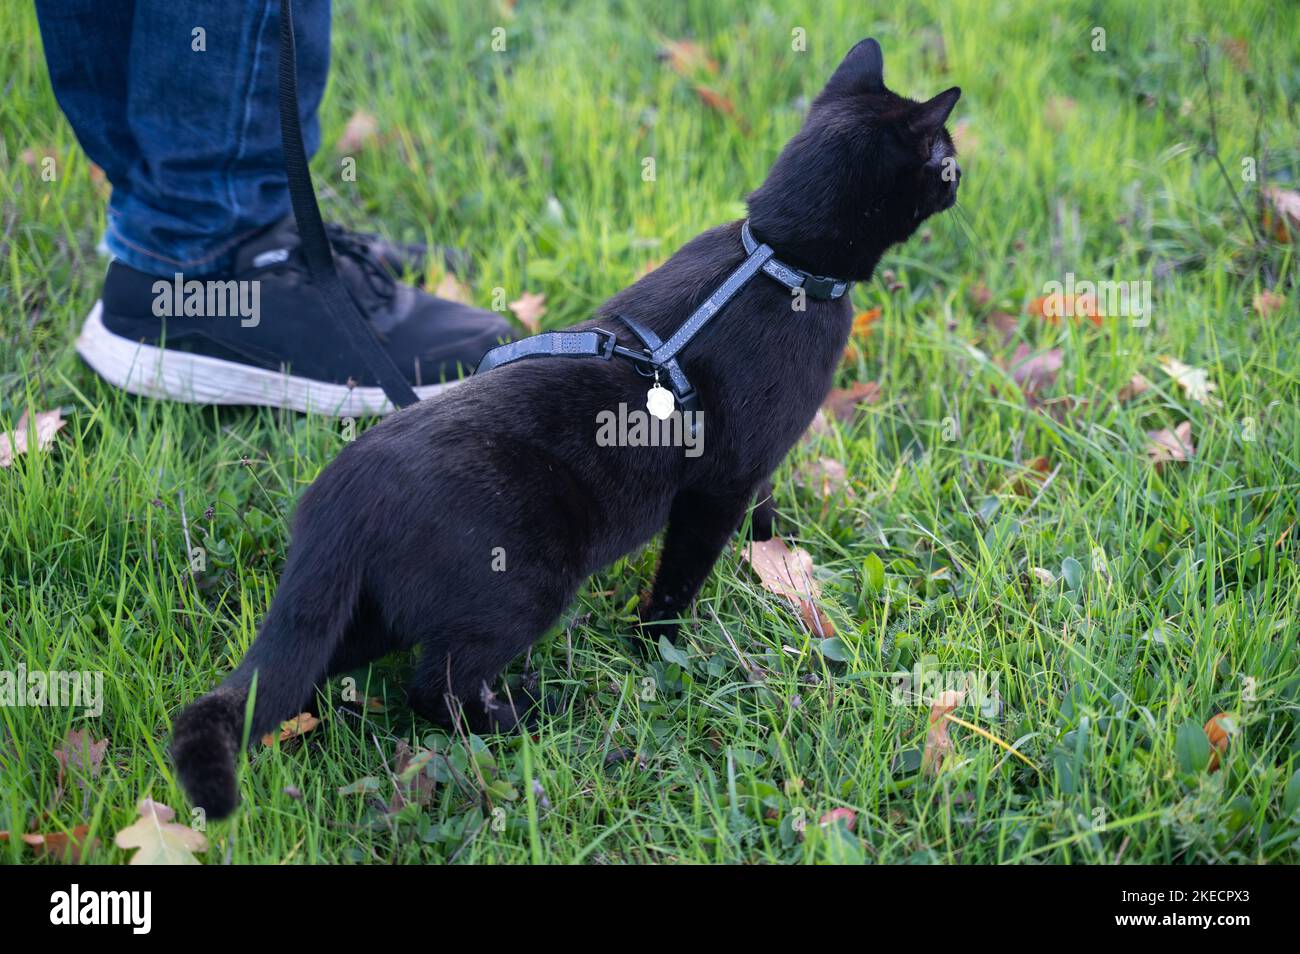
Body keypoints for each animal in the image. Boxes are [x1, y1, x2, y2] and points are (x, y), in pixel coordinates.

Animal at [172, 35, 961, 816]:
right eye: (946, 160)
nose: (962, 178)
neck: (777, 259)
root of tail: (339, 502)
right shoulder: (720, 480)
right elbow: (685, 569)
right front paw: (660, 642)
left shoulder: (754, 463)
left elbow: (764, 507)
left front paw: (771, 551)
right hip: (523, 587)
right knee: (433, 688)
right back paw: (529, 715)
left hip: (366, 608)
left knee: (303, 672)